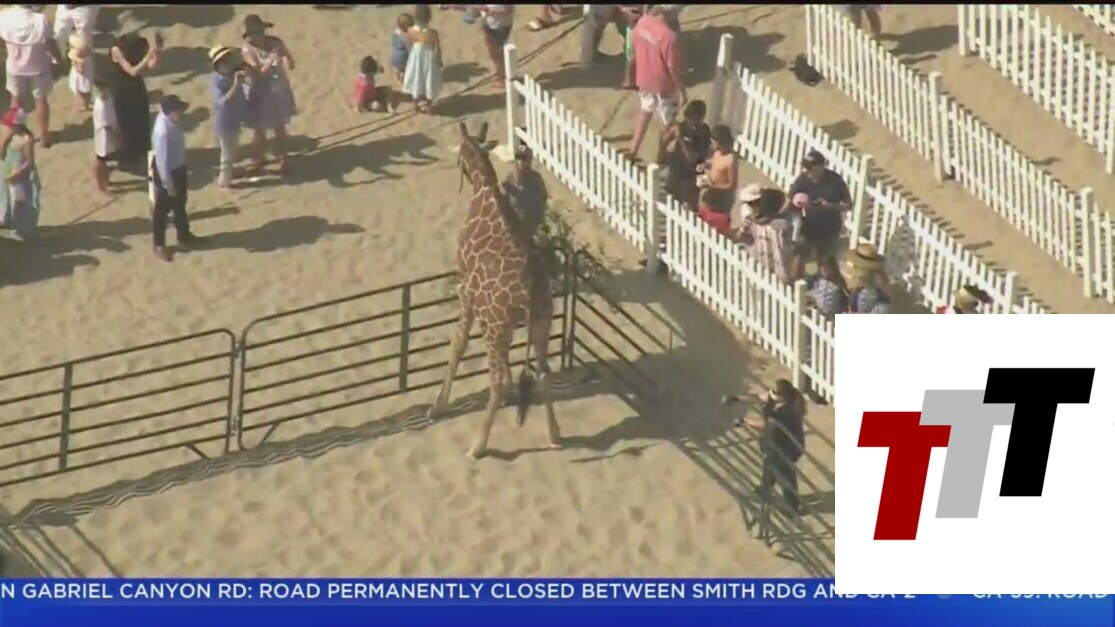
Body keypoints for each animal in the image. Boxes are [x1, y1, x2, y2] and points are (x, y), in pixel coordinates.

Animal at [425, 121, 562, 459]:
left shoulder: (466, 291)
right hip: (540, 320)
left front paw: (437, 406)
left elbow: (457, 345)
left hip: (497, 327)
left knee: (496, 381)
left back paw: (477, 446)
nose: (459, 168)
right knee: (543, 371)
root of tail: (530, 291)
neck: (485, 192)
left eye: (459, 155)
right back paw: (554, 434)